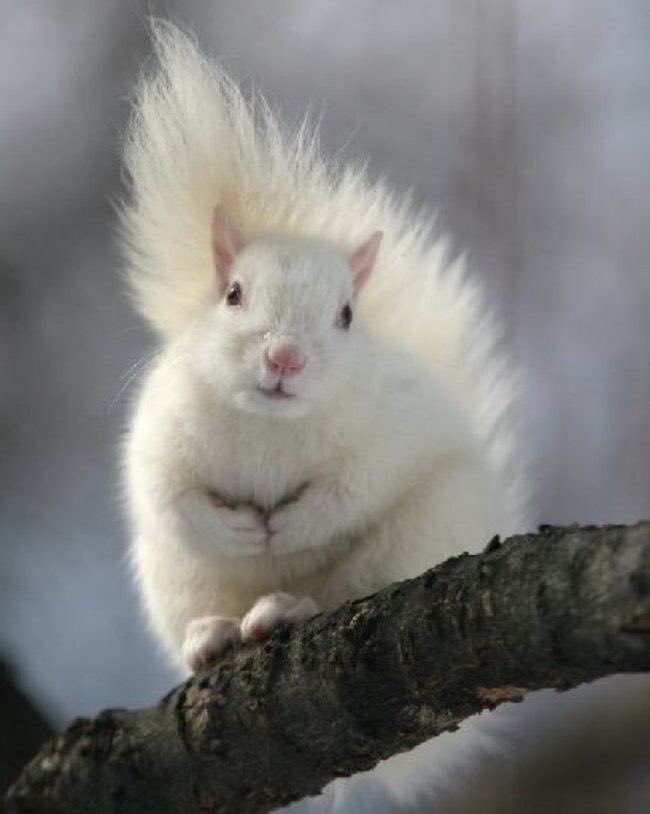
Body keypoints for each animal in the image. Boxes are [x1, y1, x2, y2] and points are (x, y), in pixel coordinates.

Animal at [120, 22, 529, 677]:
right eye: (232, 294)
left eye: (345, 316)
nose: (284, 357)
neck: (270, 426)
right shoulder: (160, 431)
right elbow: (169, 498)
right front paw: (239, 532)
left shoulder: (385, 433)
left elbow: (348, 492)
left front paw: (289, 528)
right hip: (174, 577)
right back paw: (211, 634)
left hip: (421, 531)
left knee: (345, 592)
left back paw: (286, 607)